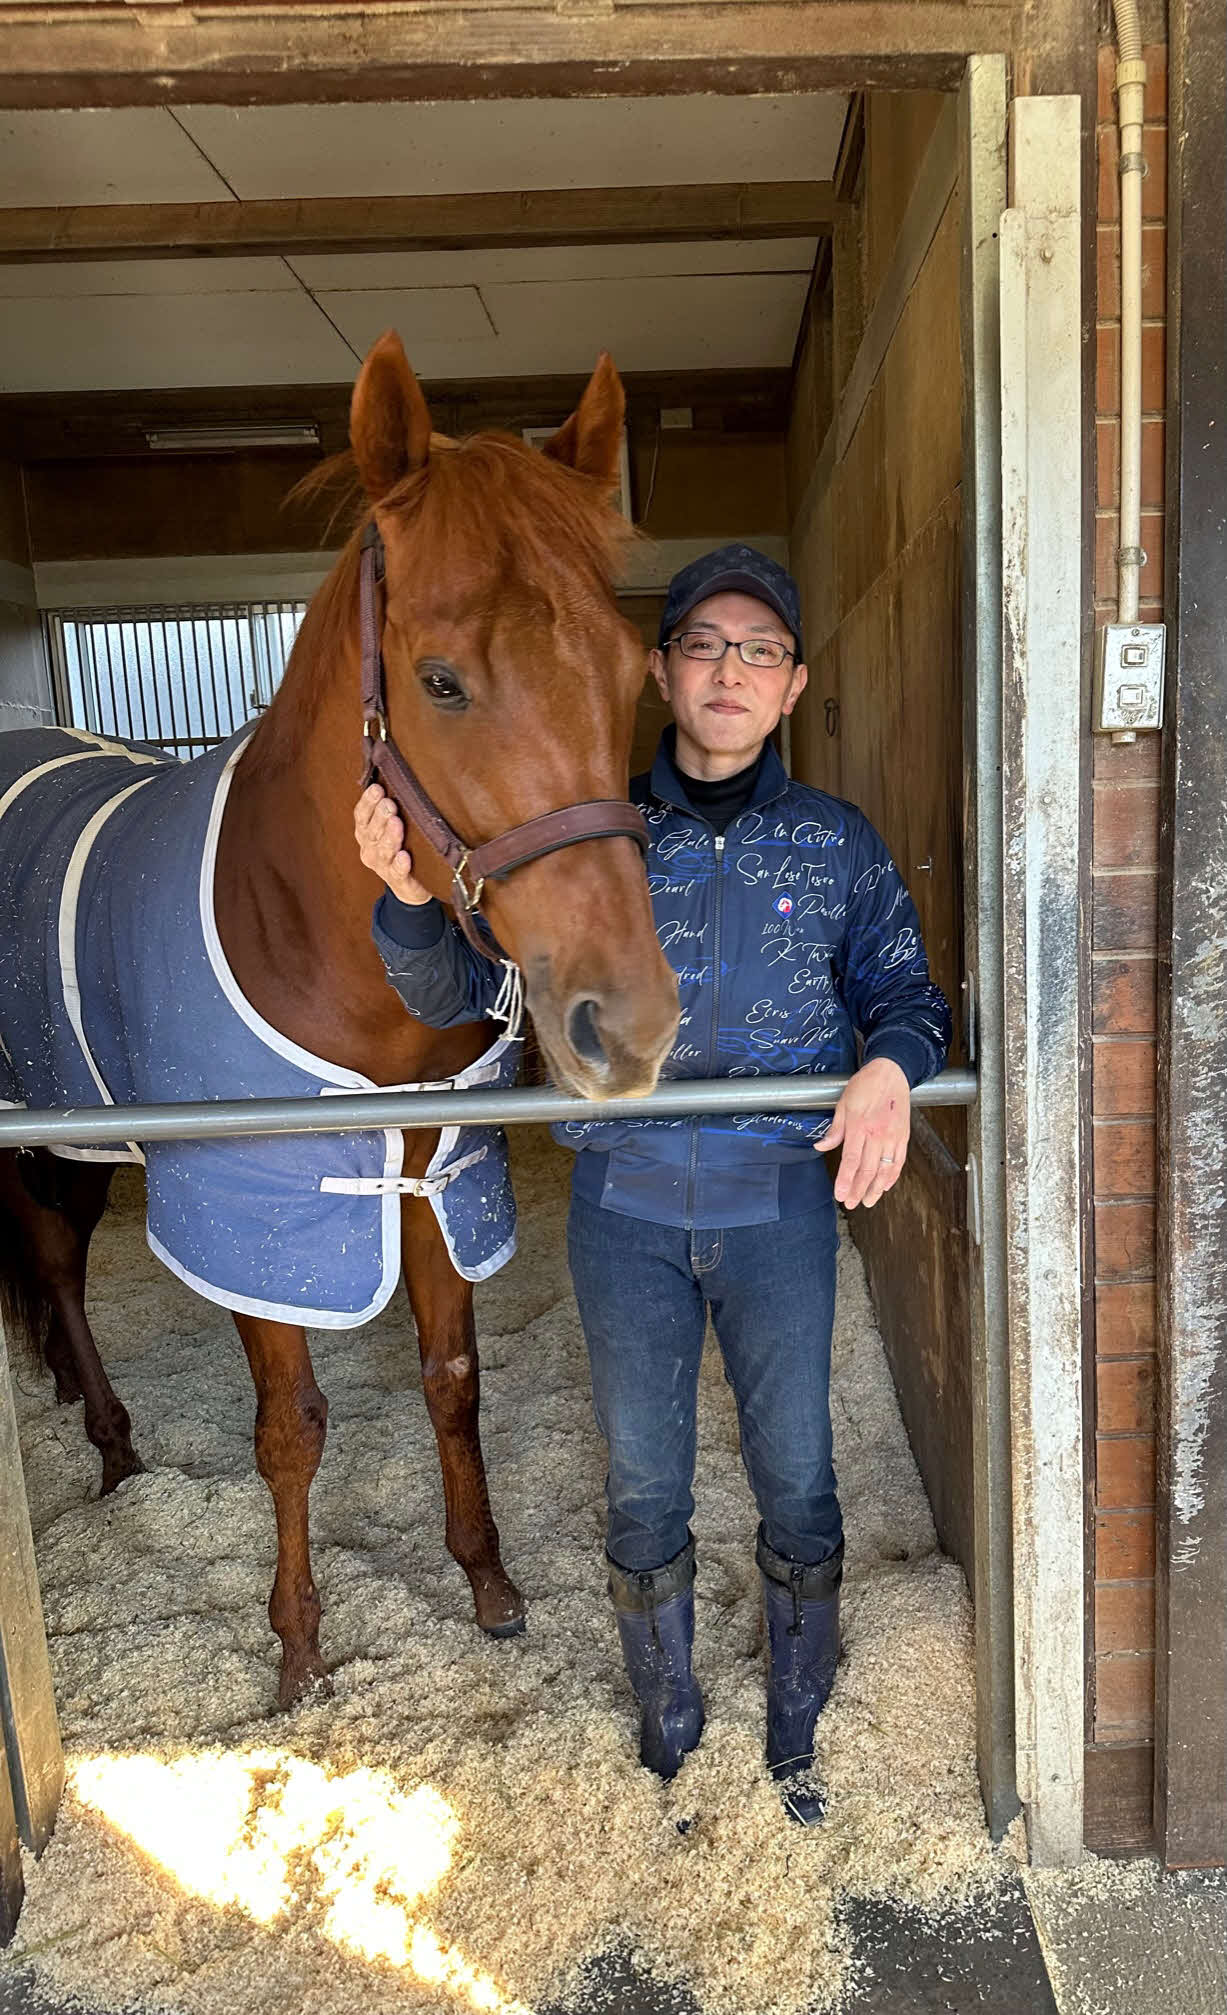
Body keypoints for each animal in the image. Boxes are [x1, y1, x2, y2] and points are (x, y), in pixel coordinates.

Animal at [0, 331, 680, 1708]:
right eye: (440, 680)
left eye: (628, 666)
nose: (626, 1025)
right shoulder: (261, 1205)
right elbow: (292, 1427)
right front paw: (300, 1645)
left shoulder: (433, 1170)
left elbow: (452, 1382)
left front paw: (488, 1581)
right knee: (50, 1261)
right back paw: (112, 1446)